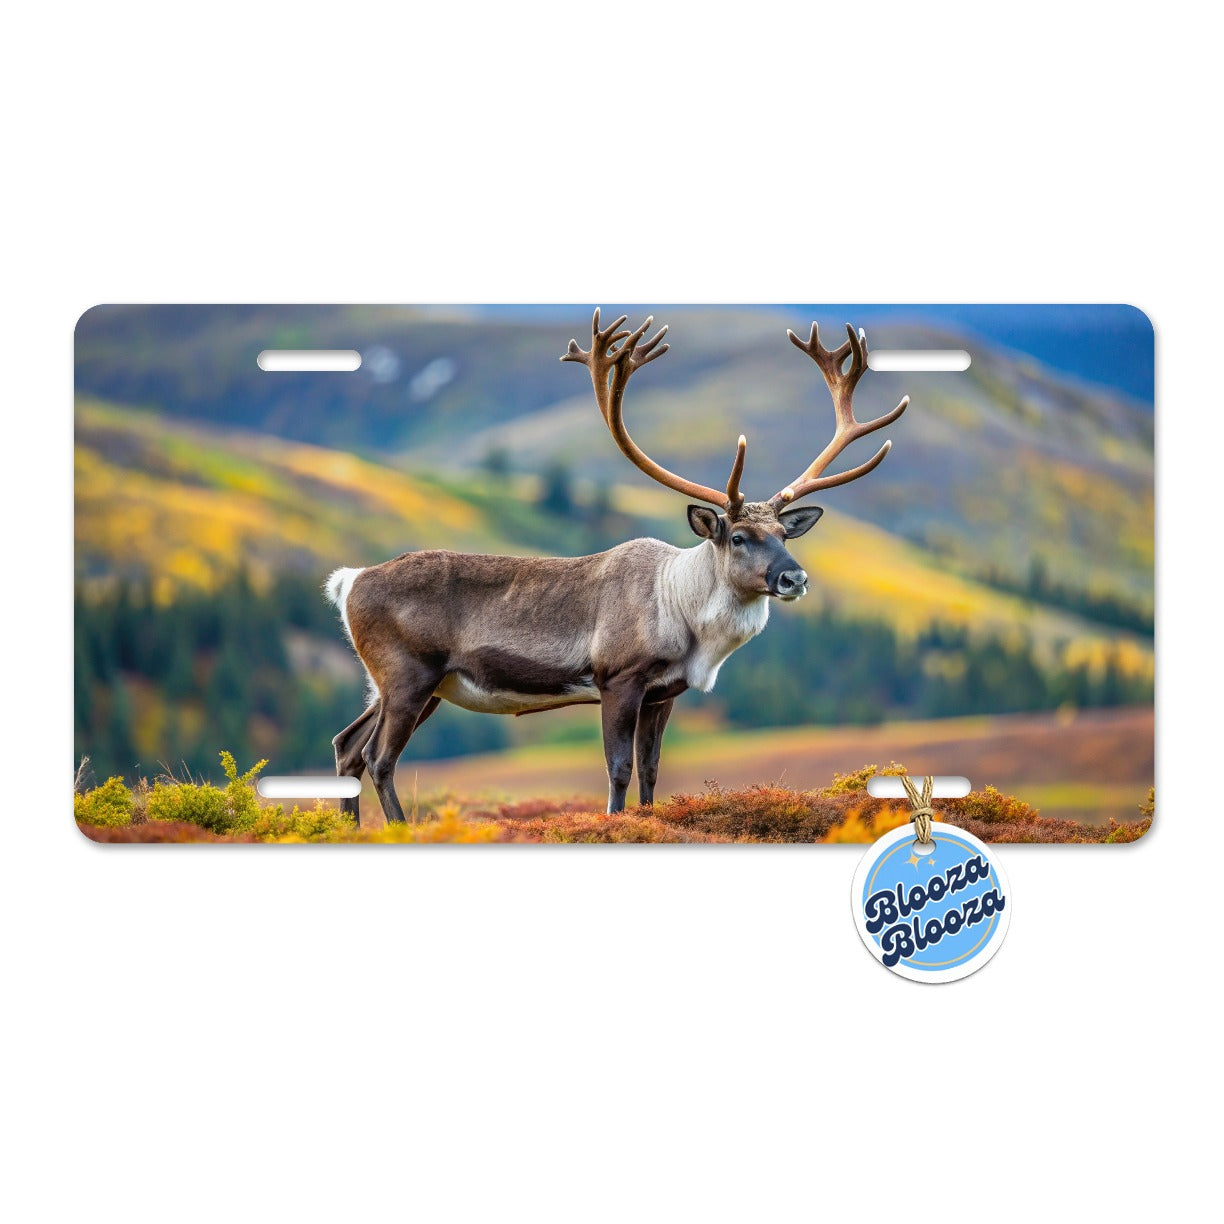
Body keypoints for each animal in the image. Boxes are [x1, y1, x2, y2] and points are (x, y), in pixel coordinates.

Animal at [325, 309, 909, 824]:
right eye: (739, 537)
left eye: (786, 534)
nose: (794, 577)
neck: (685, 618)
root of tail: (349, 581)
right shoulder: (618, 679)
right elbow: (620, 768)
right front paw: (615, 822)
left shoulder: (663, 693)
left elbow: (651, 769)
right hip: (408, 674)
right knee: (378, 757)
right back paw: (399, 828)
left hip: (406, 684)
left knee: (346, 744)